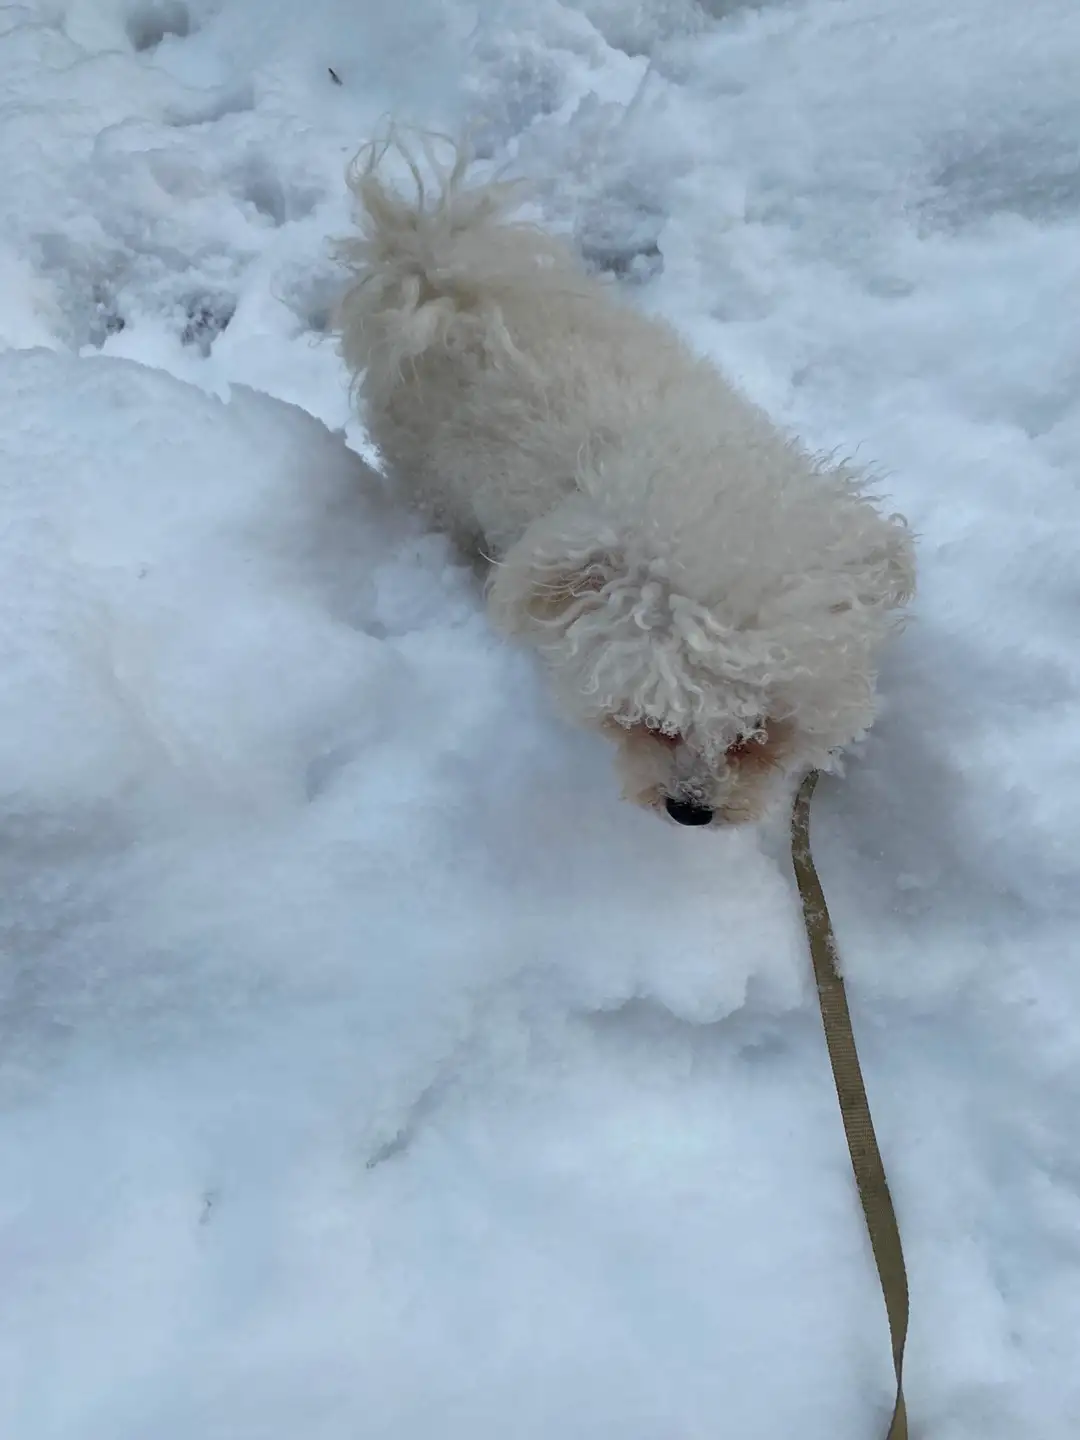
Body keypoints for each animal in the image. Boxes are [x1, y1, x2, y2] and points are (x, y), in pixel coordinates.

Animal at [336, 141, 915, 835]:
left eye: (757, 730)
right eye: (649, 721)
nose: (690, 810)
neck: (695, 482)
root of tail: (439, 275)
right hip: (429, 478)